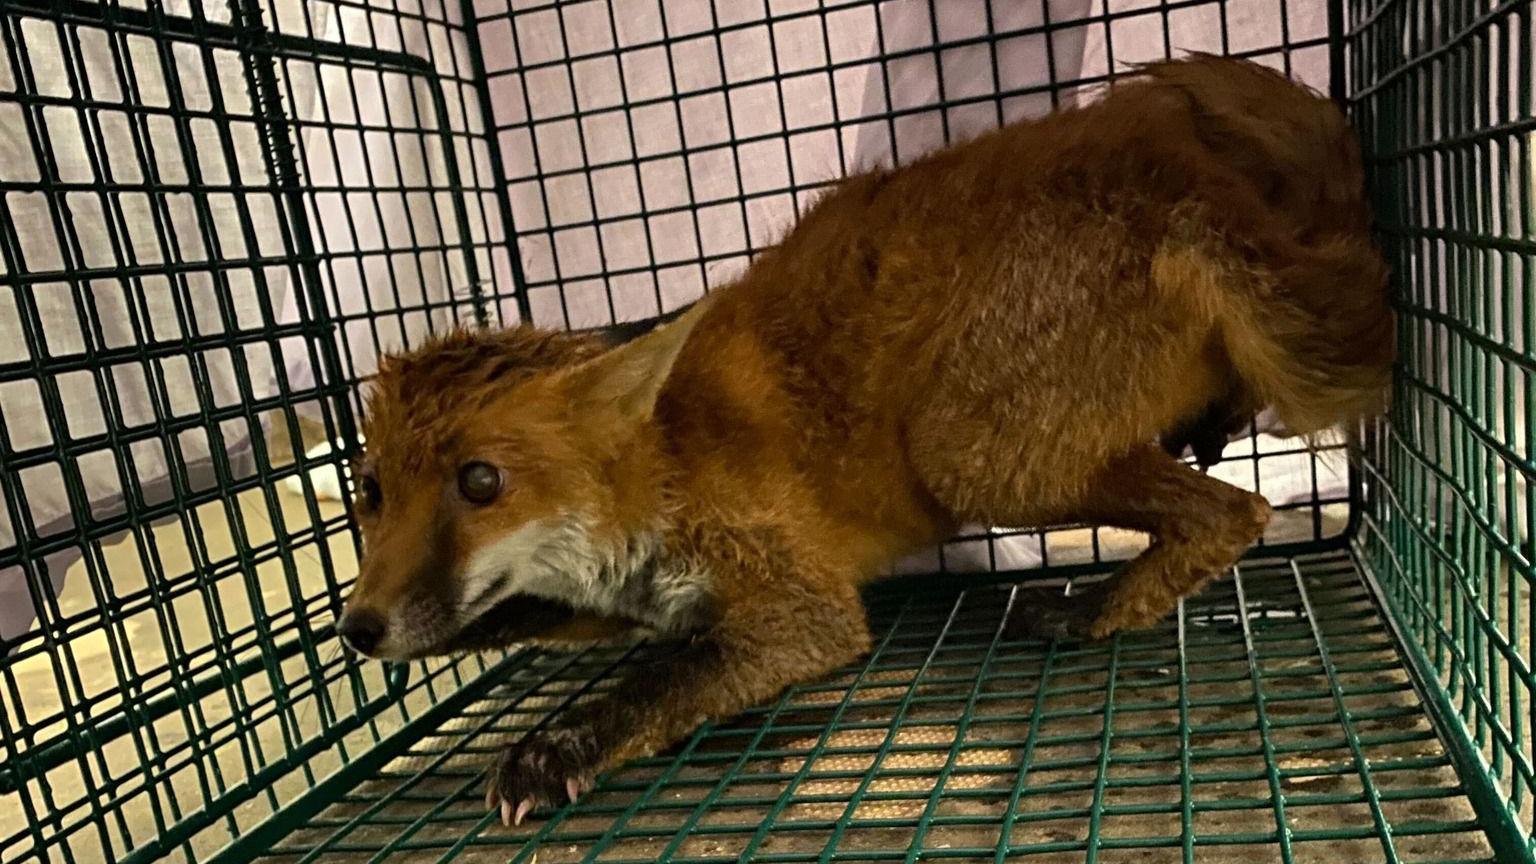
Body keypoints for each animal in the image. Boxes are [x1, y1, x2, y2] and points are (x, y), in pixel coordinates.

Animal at [333, 52, 1394, 817]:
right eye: (370, 490)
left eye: (480, 482)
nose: (356, 628)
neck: (659, 470)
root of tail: (1175, 172)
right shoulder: (624, 597)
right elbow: (523, 616)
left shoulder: (797, 603)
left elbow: (665, 676)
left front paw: (556, 746)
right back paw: (1204, 430)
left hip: (971, 454)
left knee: (1232, 513)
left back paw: (1093, 608)